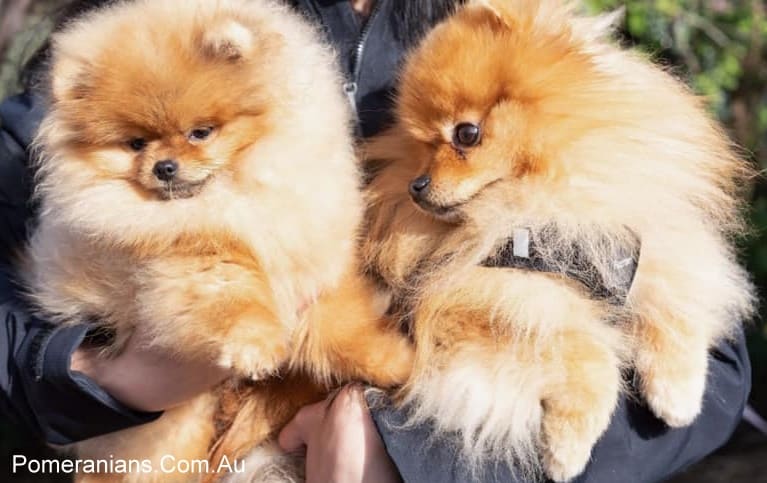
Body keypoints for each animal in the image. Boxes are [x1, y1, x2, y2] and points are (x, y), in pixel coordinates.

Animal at [21, 0, 412, 483]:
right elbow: (237, 298)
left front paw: (394, 363)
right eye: (136, 144)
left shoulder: (313, 260)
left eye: (200, 133)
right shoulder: (192, 262)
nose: (164, 167)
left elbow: (340, 326)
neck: (229, 199)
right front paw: (256, 346)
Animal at [364, 0, 756, 482]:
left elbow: (675, 305)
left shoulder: (631, 238)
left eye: (466, 134)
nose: (416, 186)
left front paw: (677, 392)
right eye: (420, 144)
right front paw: (566, 448)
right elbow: (586, 351)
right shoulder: (492, 299)